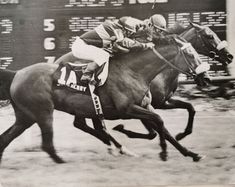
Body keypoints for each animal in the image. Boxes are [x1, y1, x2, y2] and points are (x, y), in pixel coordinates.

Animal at [0, 35, 206, 164]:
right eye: (190, 54)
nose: (206, 77)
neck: (134, 71)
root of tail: (17, 74)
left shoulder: (146, 105)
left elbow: (164, 129)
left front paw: (191, 153)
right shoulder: (127, 109)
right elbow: (159, 122)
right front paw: (163, 152)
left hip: (26, 116)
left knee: (5, 138)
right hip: (43, 113)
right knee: (48, 143)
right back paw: (63, 161)